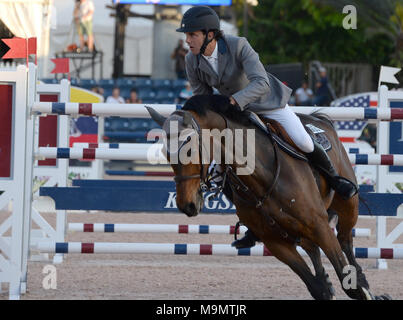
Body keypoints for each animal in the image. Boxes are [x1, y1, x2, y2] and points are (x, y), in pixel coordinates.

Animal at [148, 95, 392, 300]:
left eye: (189, 150)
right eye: (166, 153)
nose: (187, 205)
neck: (262, 174)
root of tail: (318, 119)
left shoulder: (320, 226)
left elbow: (348, 282)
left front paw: (363, 289)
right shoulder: (276, 243)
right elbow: (317, 288)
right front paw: (325, 284)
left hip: (347, 207)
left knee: (345, 241)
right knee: (313, 248)